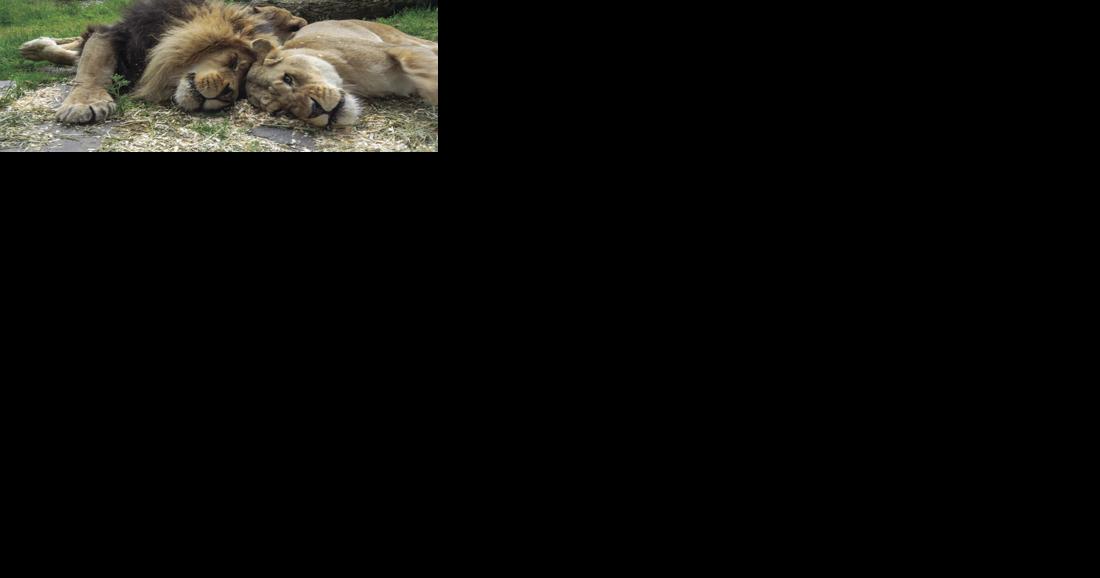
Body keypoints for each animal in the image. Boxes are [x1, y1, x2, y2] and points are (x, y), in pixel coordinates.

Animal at [18, 0, 308, 124]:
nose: (227, 94)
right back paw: (33, 47)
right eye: (235, 62)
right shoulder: (116, 33)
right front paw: (84, 104)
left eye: (241, 94)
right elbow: (93, 67)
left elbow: (85, 59)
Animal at [245, 20, 437, 129]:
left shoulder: (399, 49)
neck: (354, 81)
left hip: (401, 38)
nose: (315, 110)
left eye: (288, 78)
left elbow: (422, 68)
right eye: (280, 111)